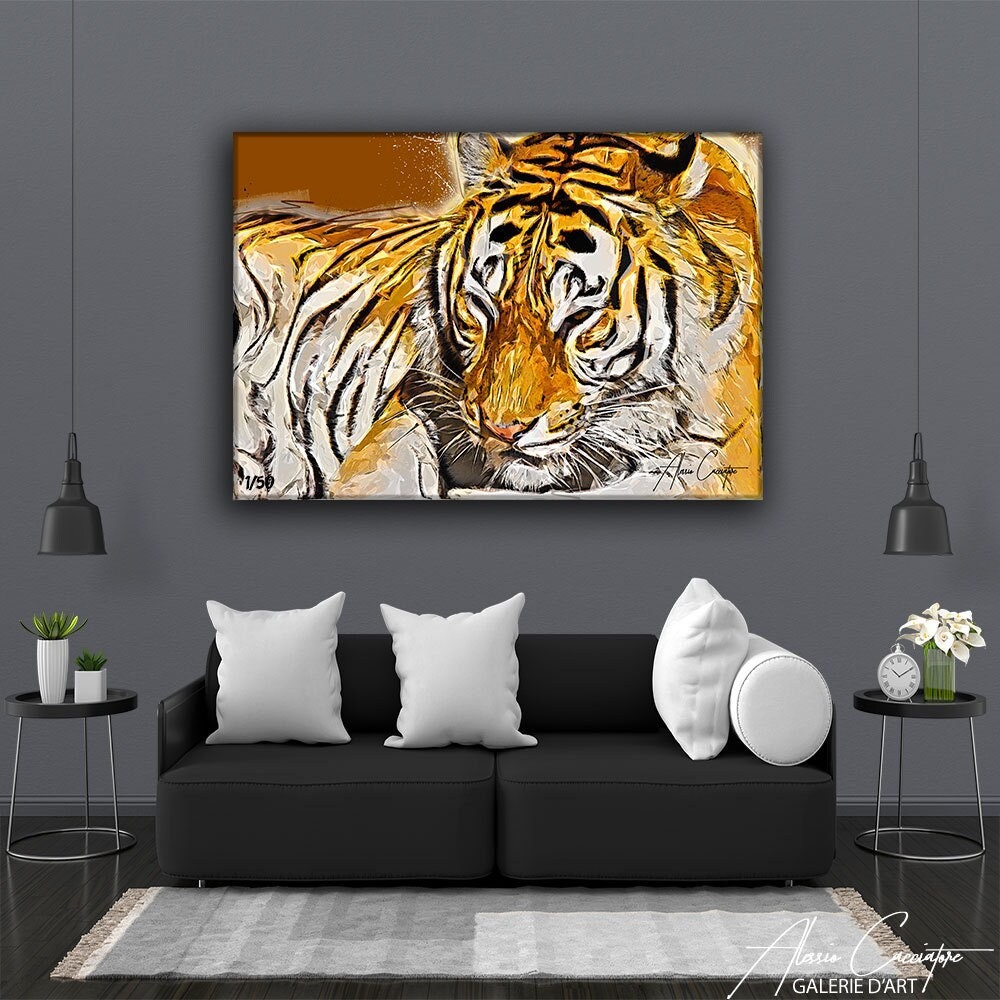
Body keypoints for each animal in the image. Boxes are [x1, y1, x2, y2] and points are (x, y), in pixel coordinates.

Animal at [233, 132, 761, 499]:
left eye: (579, 315)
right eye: (482, 304)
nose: (502, 430)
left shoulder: (720, 456)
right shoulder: (412, 403)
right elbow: (386, 465)